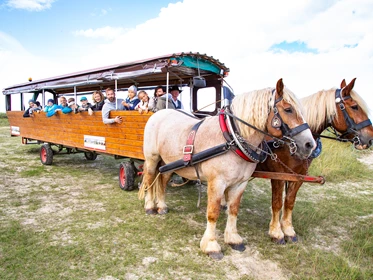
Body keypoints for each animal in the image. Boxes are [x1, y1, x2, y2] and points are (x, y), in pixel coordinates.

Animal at [139, 78, 314, 258]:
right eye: (288, 109)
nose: (310, 144)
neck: (232, 138)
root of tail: (158, 114)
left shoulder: (240, 183)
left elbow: (233, 210)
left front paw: (233, 239)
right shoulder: (217, 183)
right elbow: (213, 213)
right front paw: (211, 245)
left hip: (167, 163)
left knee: (162, 181)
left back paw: (161, 206)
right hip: (152, 159)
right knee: (149, 180)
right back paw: (149, 206)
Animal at [256, 77, 372, 244]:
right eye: (355, 107)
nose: (370, 138)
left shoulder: (299, 176)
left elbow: (290, 201)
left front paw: (288, 230)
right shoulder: (278, 175)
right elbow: (277, 202)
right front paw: (276, 232)